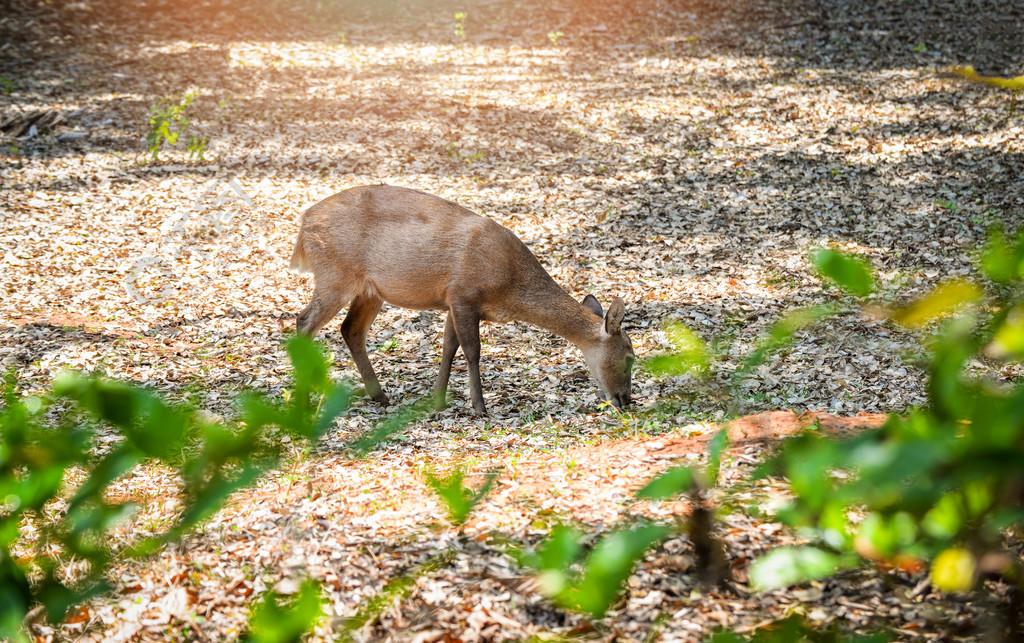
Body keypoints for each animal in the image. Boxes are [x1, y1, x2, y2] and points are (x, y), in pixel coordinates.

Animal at [288, 184, 634, 417]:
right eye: (630, 357)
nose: (625, 400)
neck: (509, 287)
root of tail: (303, 225)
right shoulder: (464, 294)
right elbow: (472, 350)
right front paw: (479, 407)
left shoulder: (452, 302)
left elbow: (448, 347)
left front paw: (439, 399)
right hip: (335, 274)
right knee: (304, 321)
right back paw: (303, 402)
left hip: (370, 290)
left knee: (350, 330)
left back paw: (380, 396)